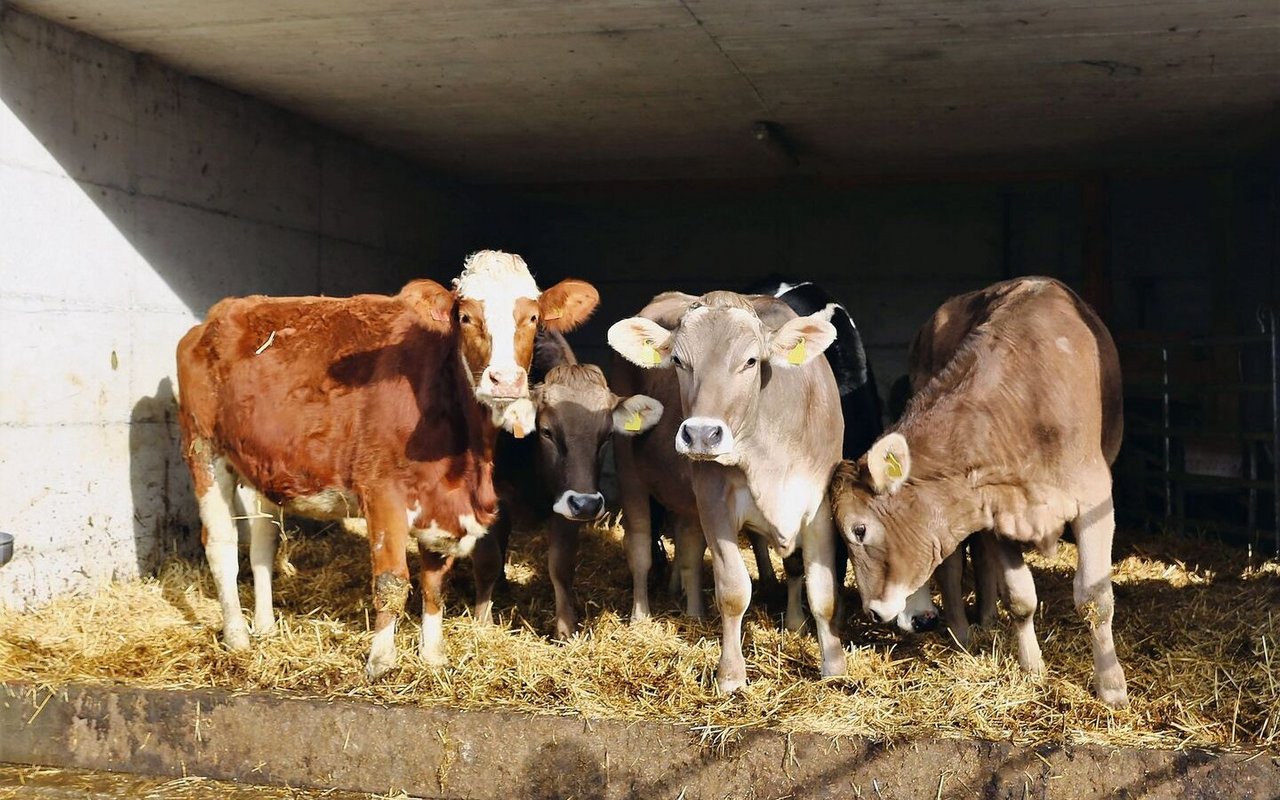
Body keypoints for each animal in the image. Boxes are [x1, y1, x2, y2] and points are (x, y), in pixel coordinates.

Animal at [175, 248, 599, 675]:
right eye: (465, 317)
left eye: (533, 318)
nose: (505, 380)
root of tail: (217, 315)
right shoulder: (382, 492)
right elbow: (392, 580)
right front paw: (380, 660)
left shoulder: (442, 502)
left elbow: (434, 584)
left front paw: (432, 655)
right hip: (203, 449)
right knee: (222, 543)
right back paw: (237, 637)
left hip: (258, 465)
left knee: (263, 539)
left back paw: (264, 627)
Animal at [609, 290, 849, 691]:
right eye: (678, 361)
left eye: (750, 361)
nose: (701, 434)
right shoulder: (714, 501)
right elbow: (734, 591)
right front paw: (731, 675)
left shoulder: (817, 506)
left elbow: (824, 591)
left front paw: (833, 665)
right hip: (630, 471)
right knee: (640, 550)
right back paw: (640, 618)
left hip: (686, 501)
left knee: (689, 549)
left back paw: (694, 613)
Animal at [824, 276, 1126, 706]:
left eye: (859, 530)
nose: (874, 612)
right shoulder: (998, 510)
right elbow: (1020, 597)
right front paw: (1032, 668)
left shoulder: (1093, 502)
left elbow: (1094, 598)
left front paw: (1111, 686)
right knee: (953, 566)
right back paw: (964, 635)